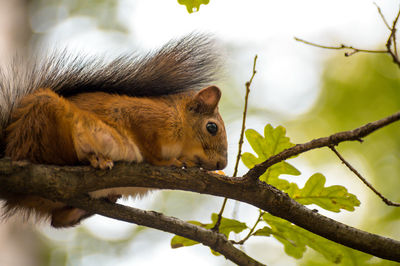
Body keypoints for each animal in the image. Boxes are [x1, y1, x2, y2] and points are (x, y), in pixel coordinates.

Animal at [0, 33, 227, 229]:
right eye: (212, 127)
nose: (221, 164)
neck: (177, 119)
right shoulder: (140, 118)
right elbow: (150, 150)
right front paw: (171, 162)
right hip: (47, 121)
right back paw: (93, 159)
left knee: (59, 220)